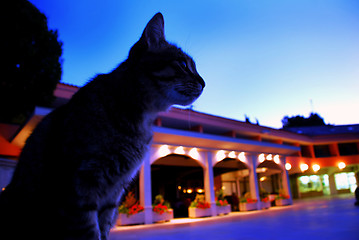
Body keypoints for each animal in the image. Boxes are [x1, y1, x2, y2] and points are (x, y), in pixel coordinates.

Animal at [0, 12, 205, 240]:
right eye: (183, 64)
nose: (204, 82)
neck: (139, 120)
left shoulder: (113, 194)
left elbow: (103, 227)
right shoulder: (80, 186)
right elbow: (89, 230)